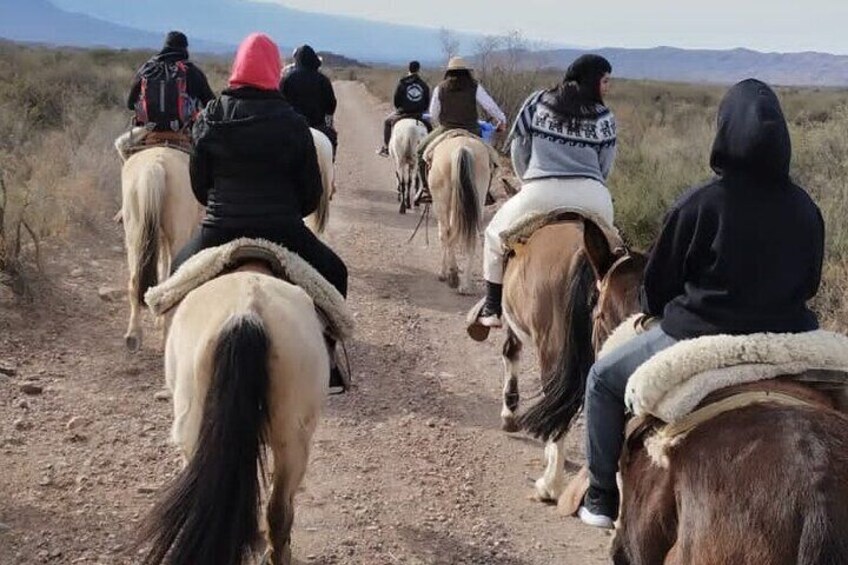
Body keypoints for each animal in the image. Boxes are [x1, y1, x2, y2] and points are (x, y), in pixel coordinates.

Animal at [428, 136, 494, 294]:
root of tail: (462, 147)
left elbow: (444, 235)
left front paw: (446, 272)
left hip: (442, 201)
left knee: (447, 233)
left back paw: (451, 275)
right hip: (478, 200)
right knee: (471, 236)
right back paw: (465, 285)